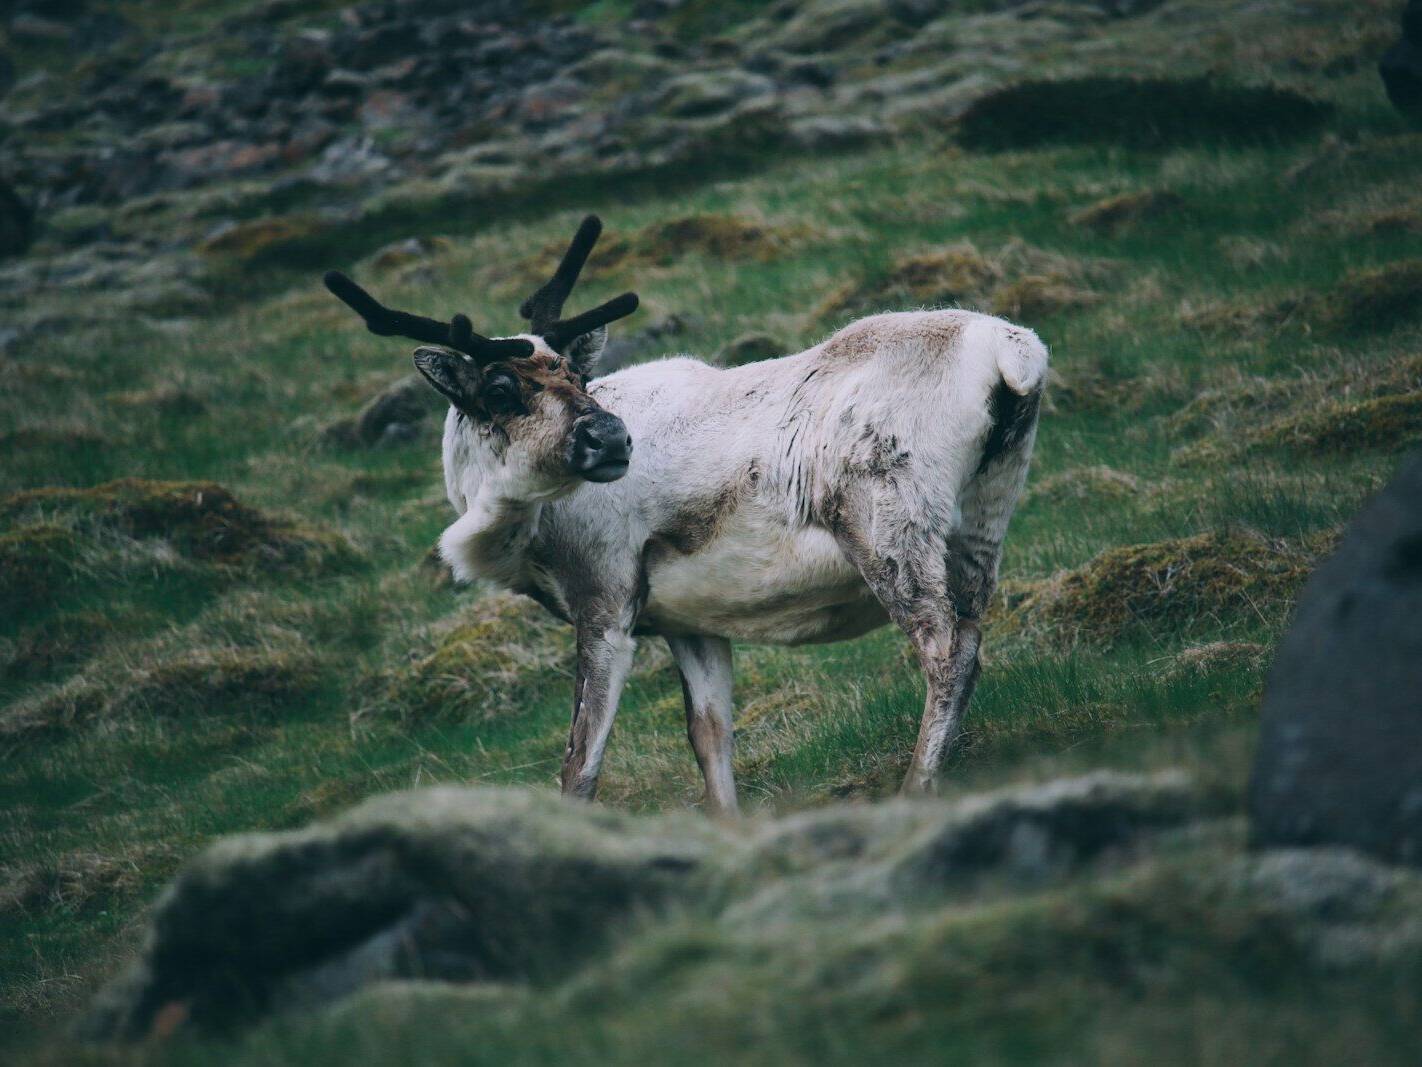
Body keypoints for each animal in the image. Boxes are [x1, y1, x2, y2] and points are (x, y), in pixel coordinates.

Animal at [324, 215, 1047, 816]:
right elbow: (709, 736)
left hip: (887, 524)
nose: (611, 438)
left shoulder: (605, 599)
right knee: (972, 632)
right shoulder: (689, 621)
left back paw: (916, 786)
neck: (522, 532)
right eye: (501, 388)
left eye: (575, 376)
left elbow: (579, 764)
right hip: (982, 523)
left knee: (945, 648)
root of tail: (1013, 353)